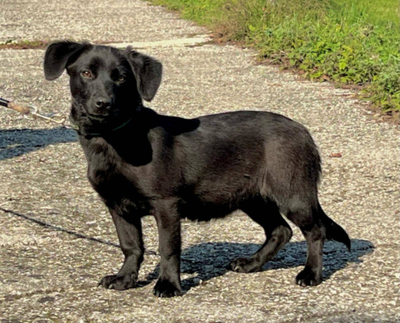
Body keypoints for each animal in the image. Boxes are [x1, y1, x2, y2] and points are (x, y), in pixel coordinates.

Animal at [43, 41, 350, 298]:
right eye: (86, 73)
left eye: (121, 78)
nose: (103, 104)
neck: (115, 139)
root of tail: (304, 132)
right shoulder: (118, 206)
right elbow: (131, 246)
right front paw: (125, 278)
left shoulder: (166, 205)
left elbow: (168, 248)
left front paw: (168, 284)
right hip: (252, 198)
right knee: (280, 231)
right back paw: (252, 263)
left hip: (292, 195)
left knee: (315, 231)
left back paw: (311, 274)